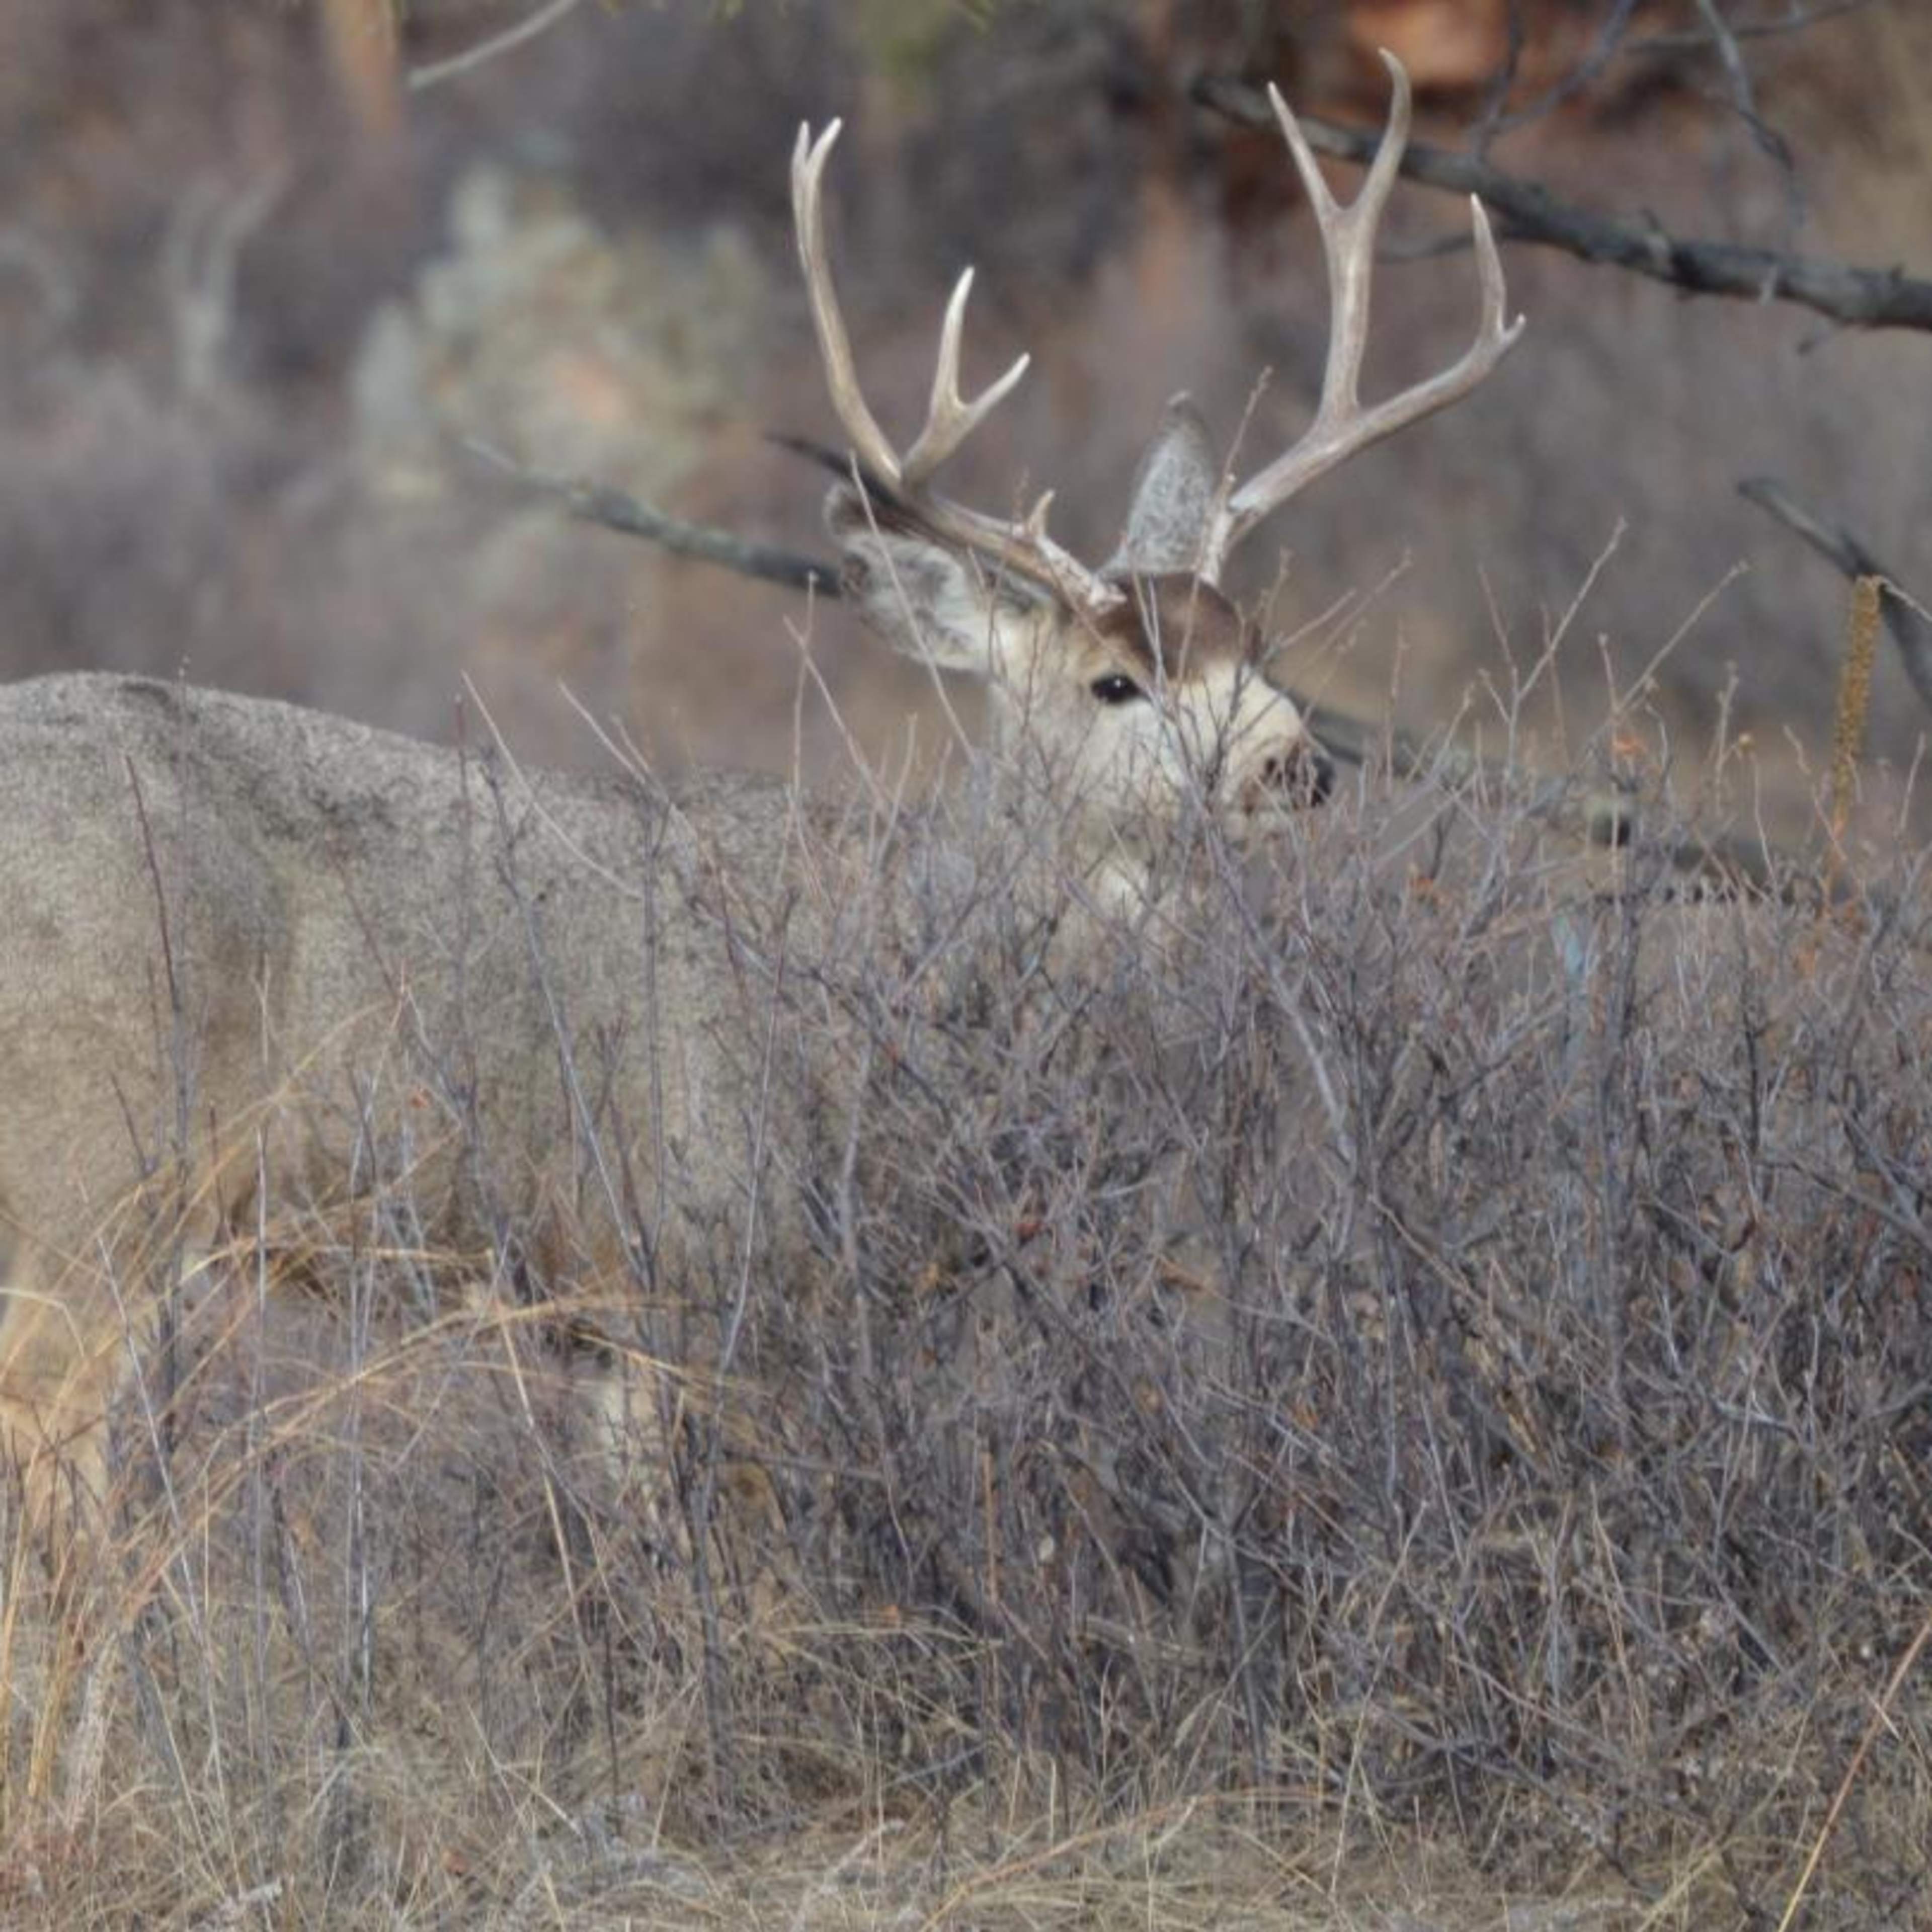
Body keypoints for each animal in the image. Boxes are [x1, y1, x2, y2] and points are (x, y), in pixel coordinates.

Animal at [0, 54, 1518, 1565]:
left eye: (1257, 647)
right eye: (1114, 683)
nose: (1296, 765)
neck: (902, 984)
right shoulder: (684, 1264)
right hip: (88, 1190)